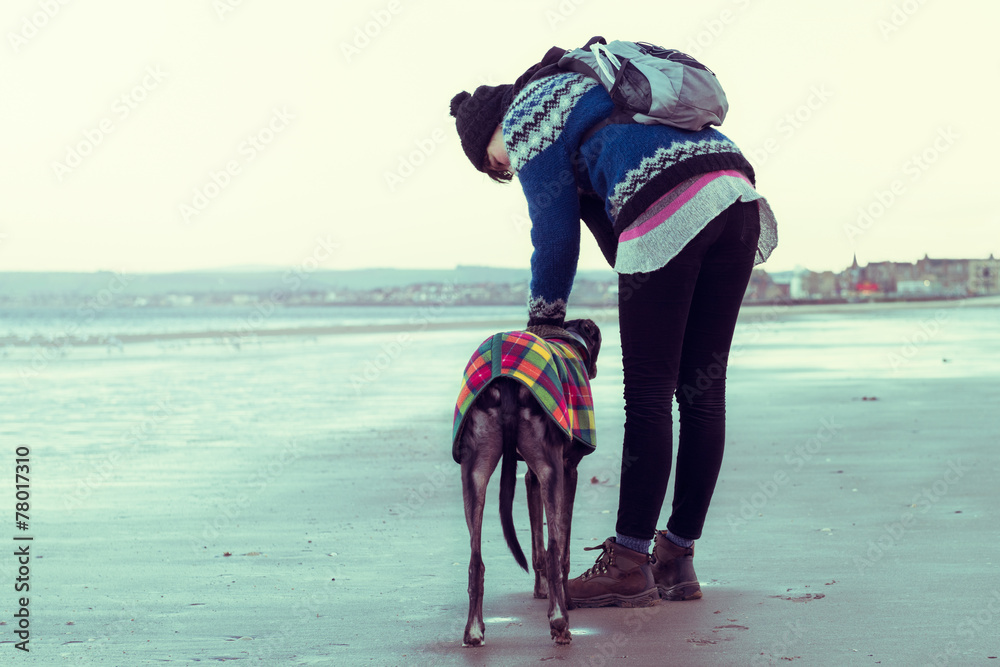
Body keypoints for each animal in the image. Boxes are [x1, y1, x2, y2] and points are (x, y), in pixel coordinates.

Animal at [454, 318, 600, 648]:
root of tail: (506, 382)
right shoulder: (566, 471)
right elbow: (560, 550)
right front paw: (562, 598)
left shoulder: (531, 477)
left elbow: (537, 545)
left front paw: (540, 589)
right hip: (551, 471)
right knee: (556, 548)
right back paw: (560, 622)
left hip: (474, 474)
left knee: (475, 560)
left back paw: (474, 631)